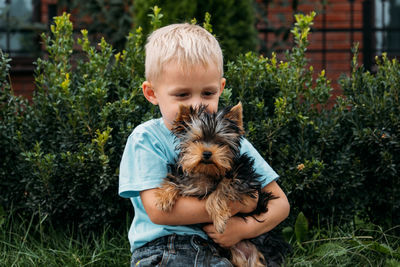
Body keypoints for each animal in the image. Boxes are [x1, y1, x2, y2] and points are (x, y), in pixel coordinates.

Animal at [155, 103, 276, 267]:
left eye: (220, 143)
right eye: (196, 141)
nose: (207, 153)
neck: (207, 171)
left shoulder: (244, 177)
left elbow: (222, 187)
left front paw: (219, 219)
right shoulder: (186, 177)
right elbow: (176, 180)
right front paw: (164, 197)